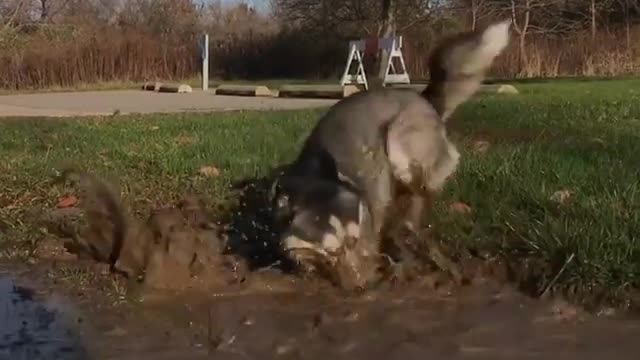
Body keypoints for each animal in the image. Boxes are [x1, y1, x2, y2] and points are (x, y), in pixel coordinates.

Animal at [268, 20, 510, 290]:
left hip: (399, 142)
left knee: (418, 200)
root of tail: (423, 99)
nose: (363, 284)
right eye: (331, 254)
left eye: (354, 241)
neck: (316, 174)